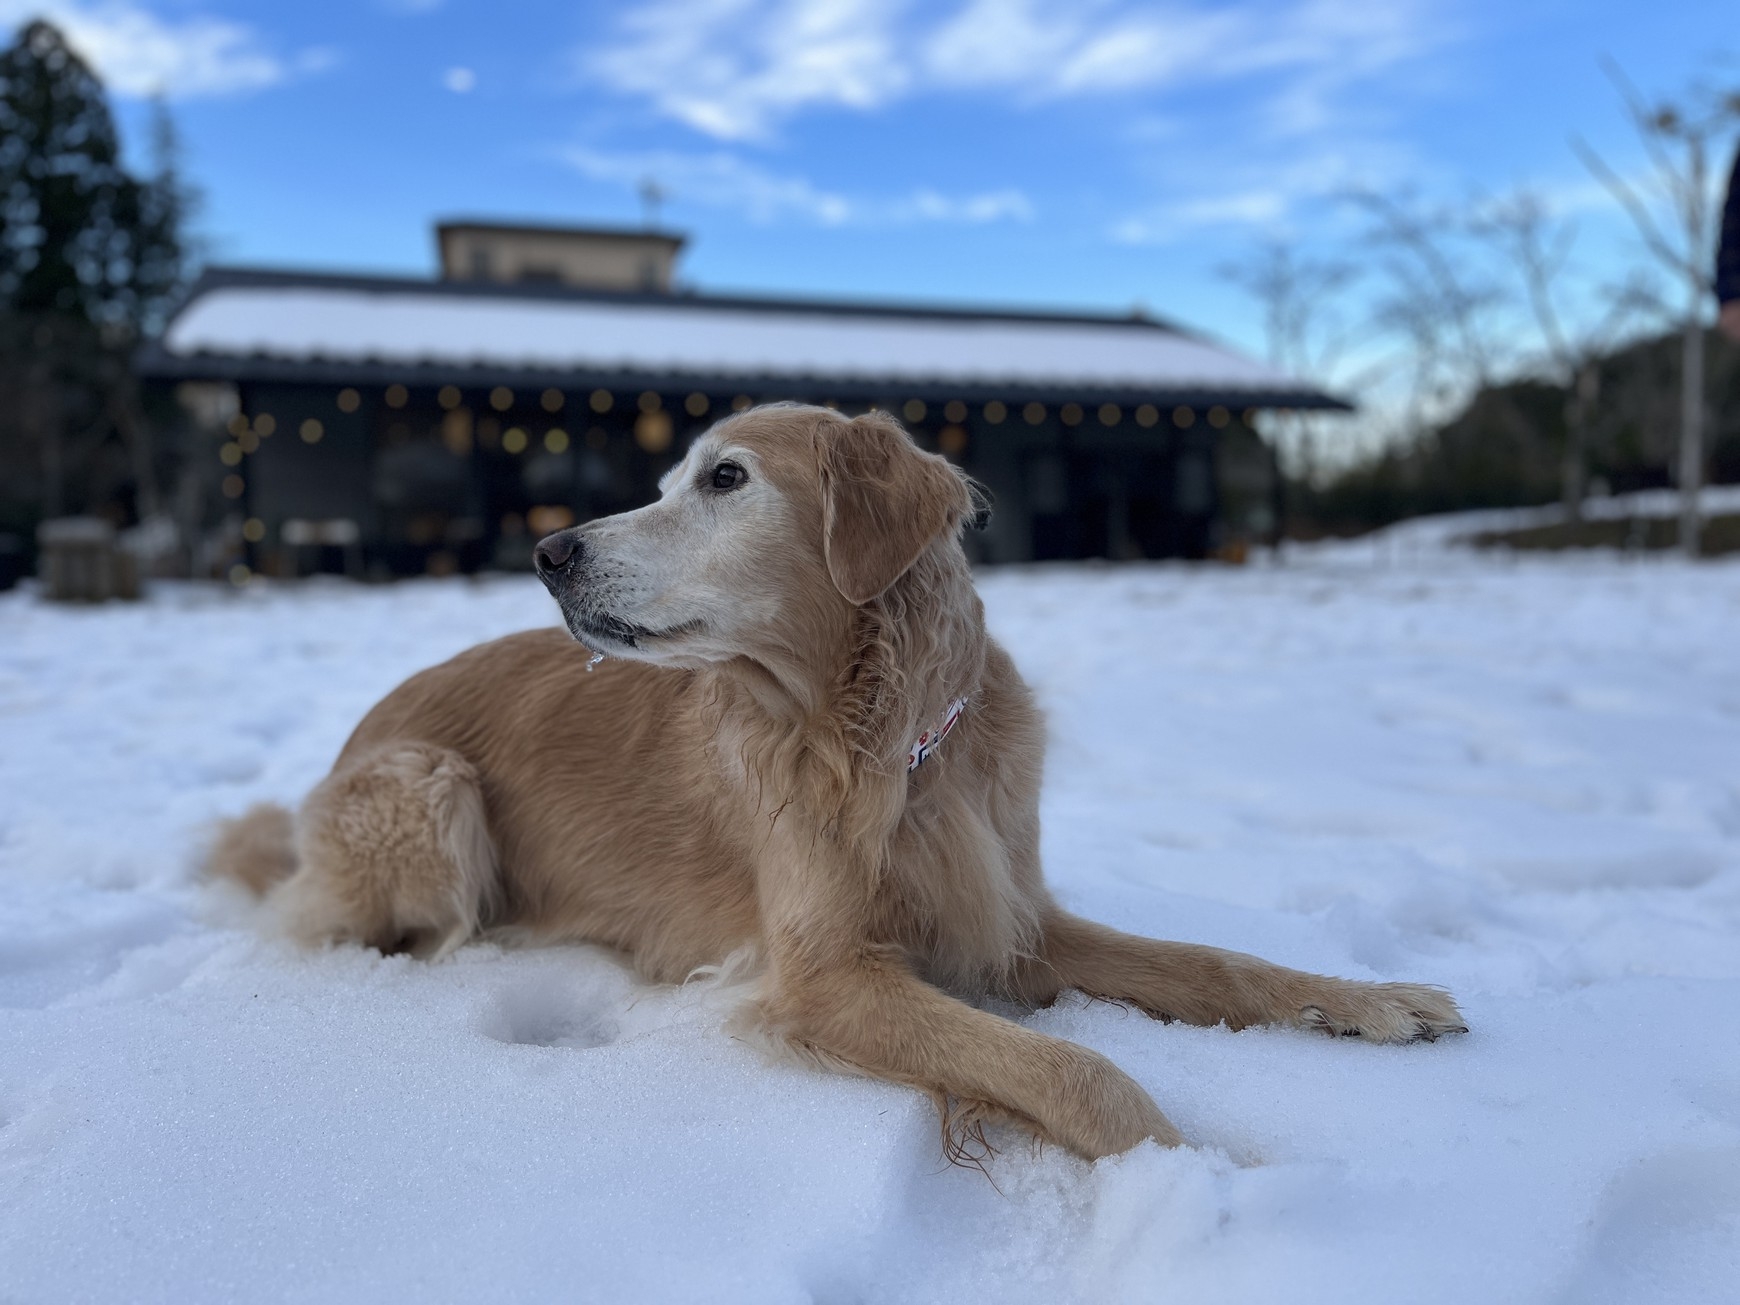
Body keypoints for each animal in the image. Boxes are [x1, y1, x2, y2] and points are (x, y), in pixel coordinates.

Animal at [217, 403, 1468, 1162]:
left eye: (725, 479)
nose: (546, 552)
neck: (893, 742)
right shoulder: (824, 978)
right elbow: (1072, 1069)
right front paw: (1197, 1171)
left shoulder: (1012, 917)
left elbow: (1217, 964)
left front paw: (1374, 1001)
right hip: (427, 784)